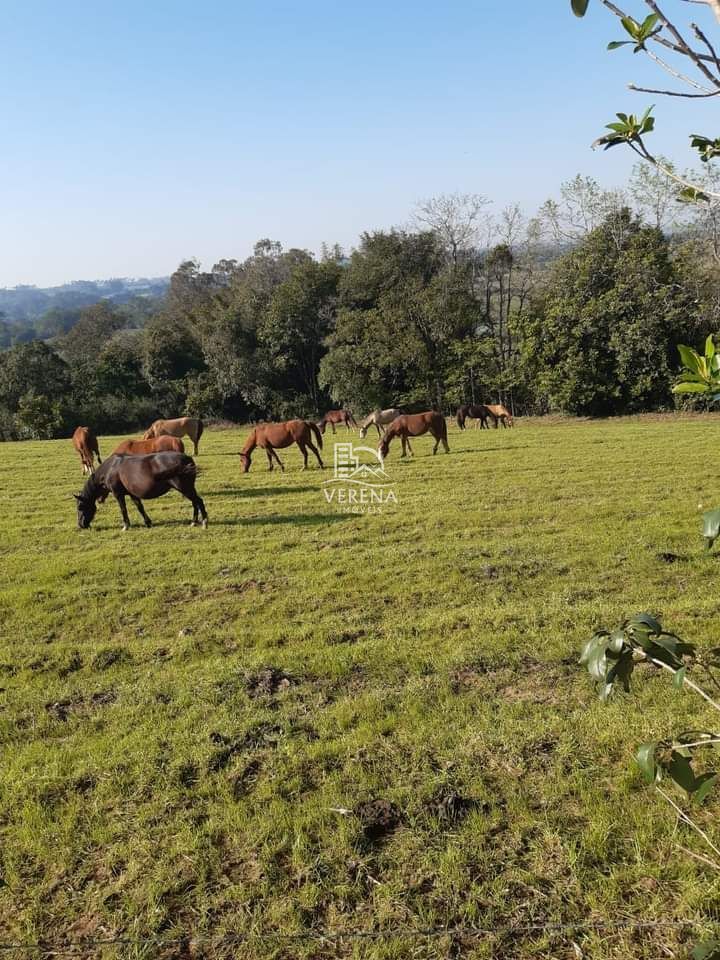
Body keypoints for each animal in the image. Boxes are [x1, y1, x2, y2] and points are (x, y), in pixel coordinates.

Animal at [73, 452, 207, 532]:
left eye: (80, 507)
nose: (81, 525)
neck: (110, 468)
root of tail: (187, 458)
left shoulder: (118, 494)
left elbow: (123, 509)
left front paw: (126, 526)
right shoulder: (133, 494)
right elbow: (140, 508)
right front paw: (148, 523)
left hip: (185, 488)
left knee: (198, 501)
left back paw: (204, 522)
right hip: (189, 488)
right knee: (195, 502)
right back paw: (194, 522)